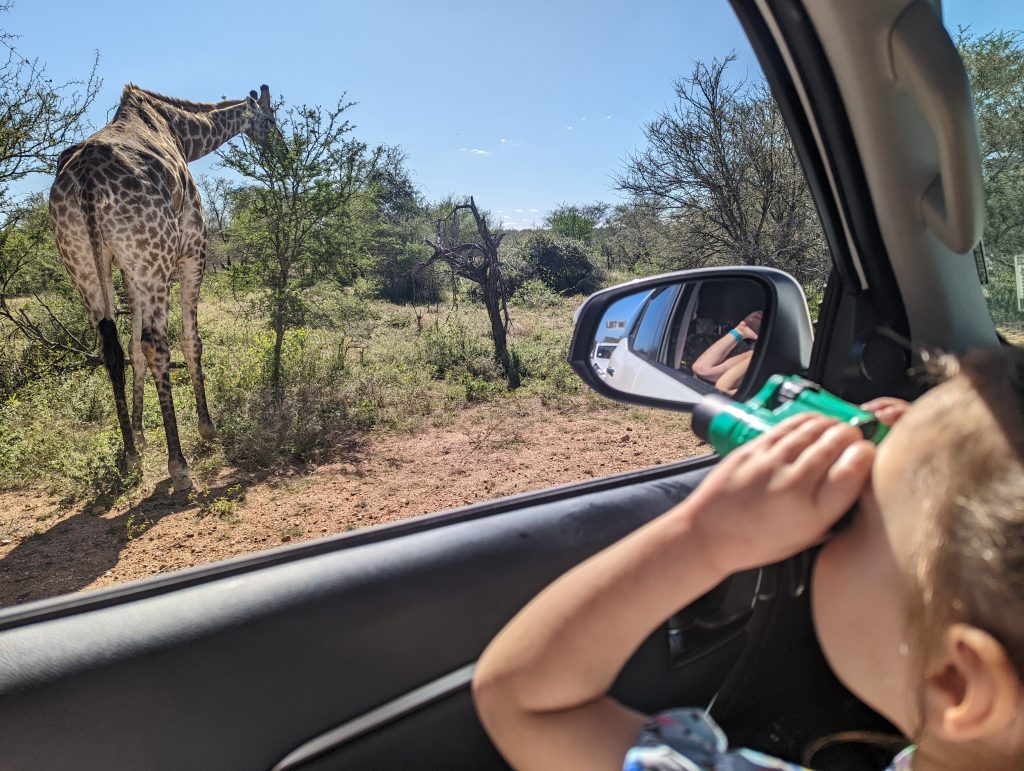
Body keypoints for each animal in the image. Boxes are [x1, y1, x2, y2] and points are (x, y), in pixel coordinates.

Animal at [49, 84, 277, 492]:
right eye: (272, 117)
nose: (280, 144)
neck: (180, 131)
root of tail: (87, 183)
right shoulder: (191, 250)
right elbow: (190, 341)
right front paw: (207, 427)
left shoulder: (129, 270)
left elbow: (132, 349)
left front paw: (139, 434)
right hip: (154, 259)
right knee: (156, 345)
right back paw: (179, 465)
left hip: (85, 264)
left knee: (112, 348)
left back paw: (130, 457)